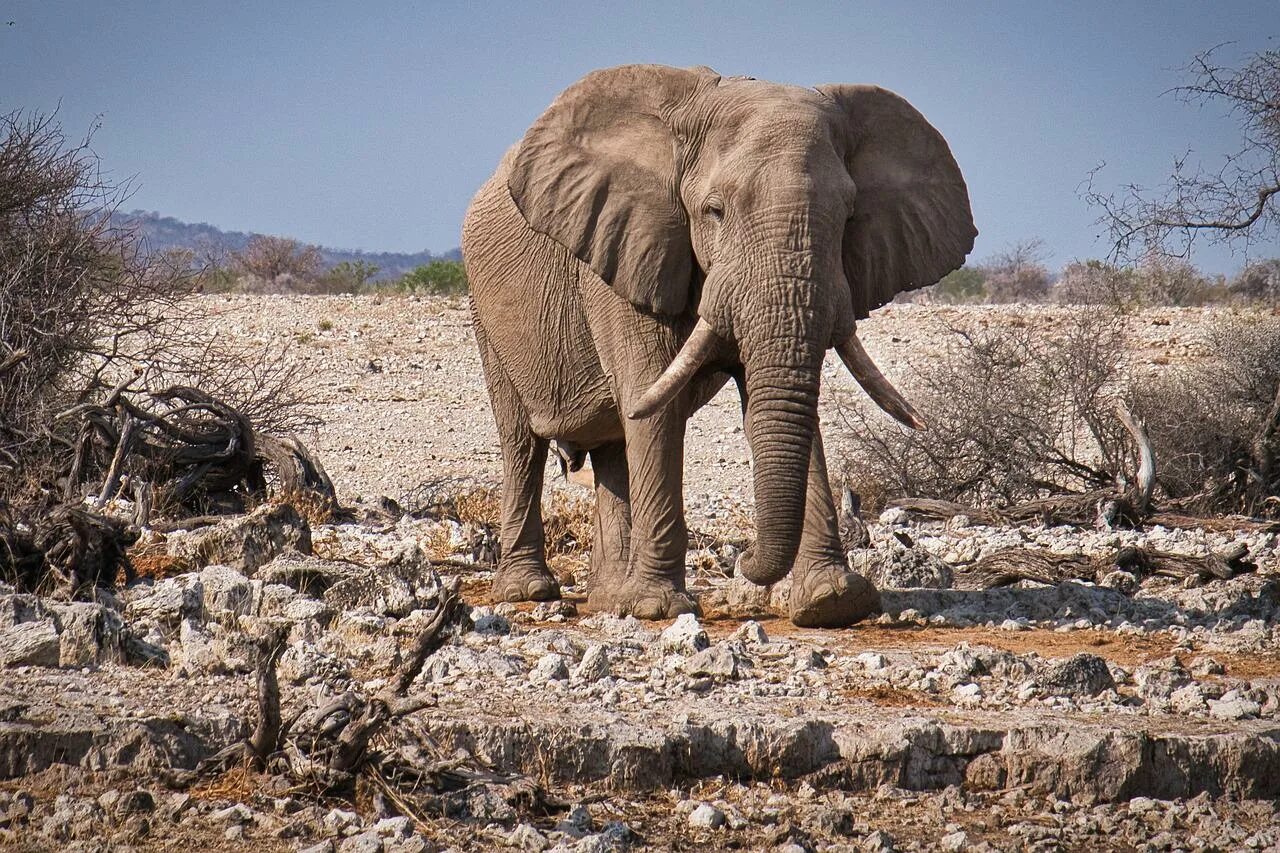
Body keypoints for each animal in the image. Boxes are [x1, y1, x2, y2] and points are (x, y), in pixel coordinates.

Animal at [465, 64, 972, 625]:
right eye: (714, 212)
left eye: (847, 217)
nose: (745, 562)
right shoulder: (625, 251)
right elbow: (652, 401)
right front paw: (658, 608)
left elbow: (776, 403)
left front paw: (834, 601)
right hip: (486, 313)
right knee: (522, 442)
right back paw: (529, 592)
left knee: (614, 447)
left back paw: (608, 598)